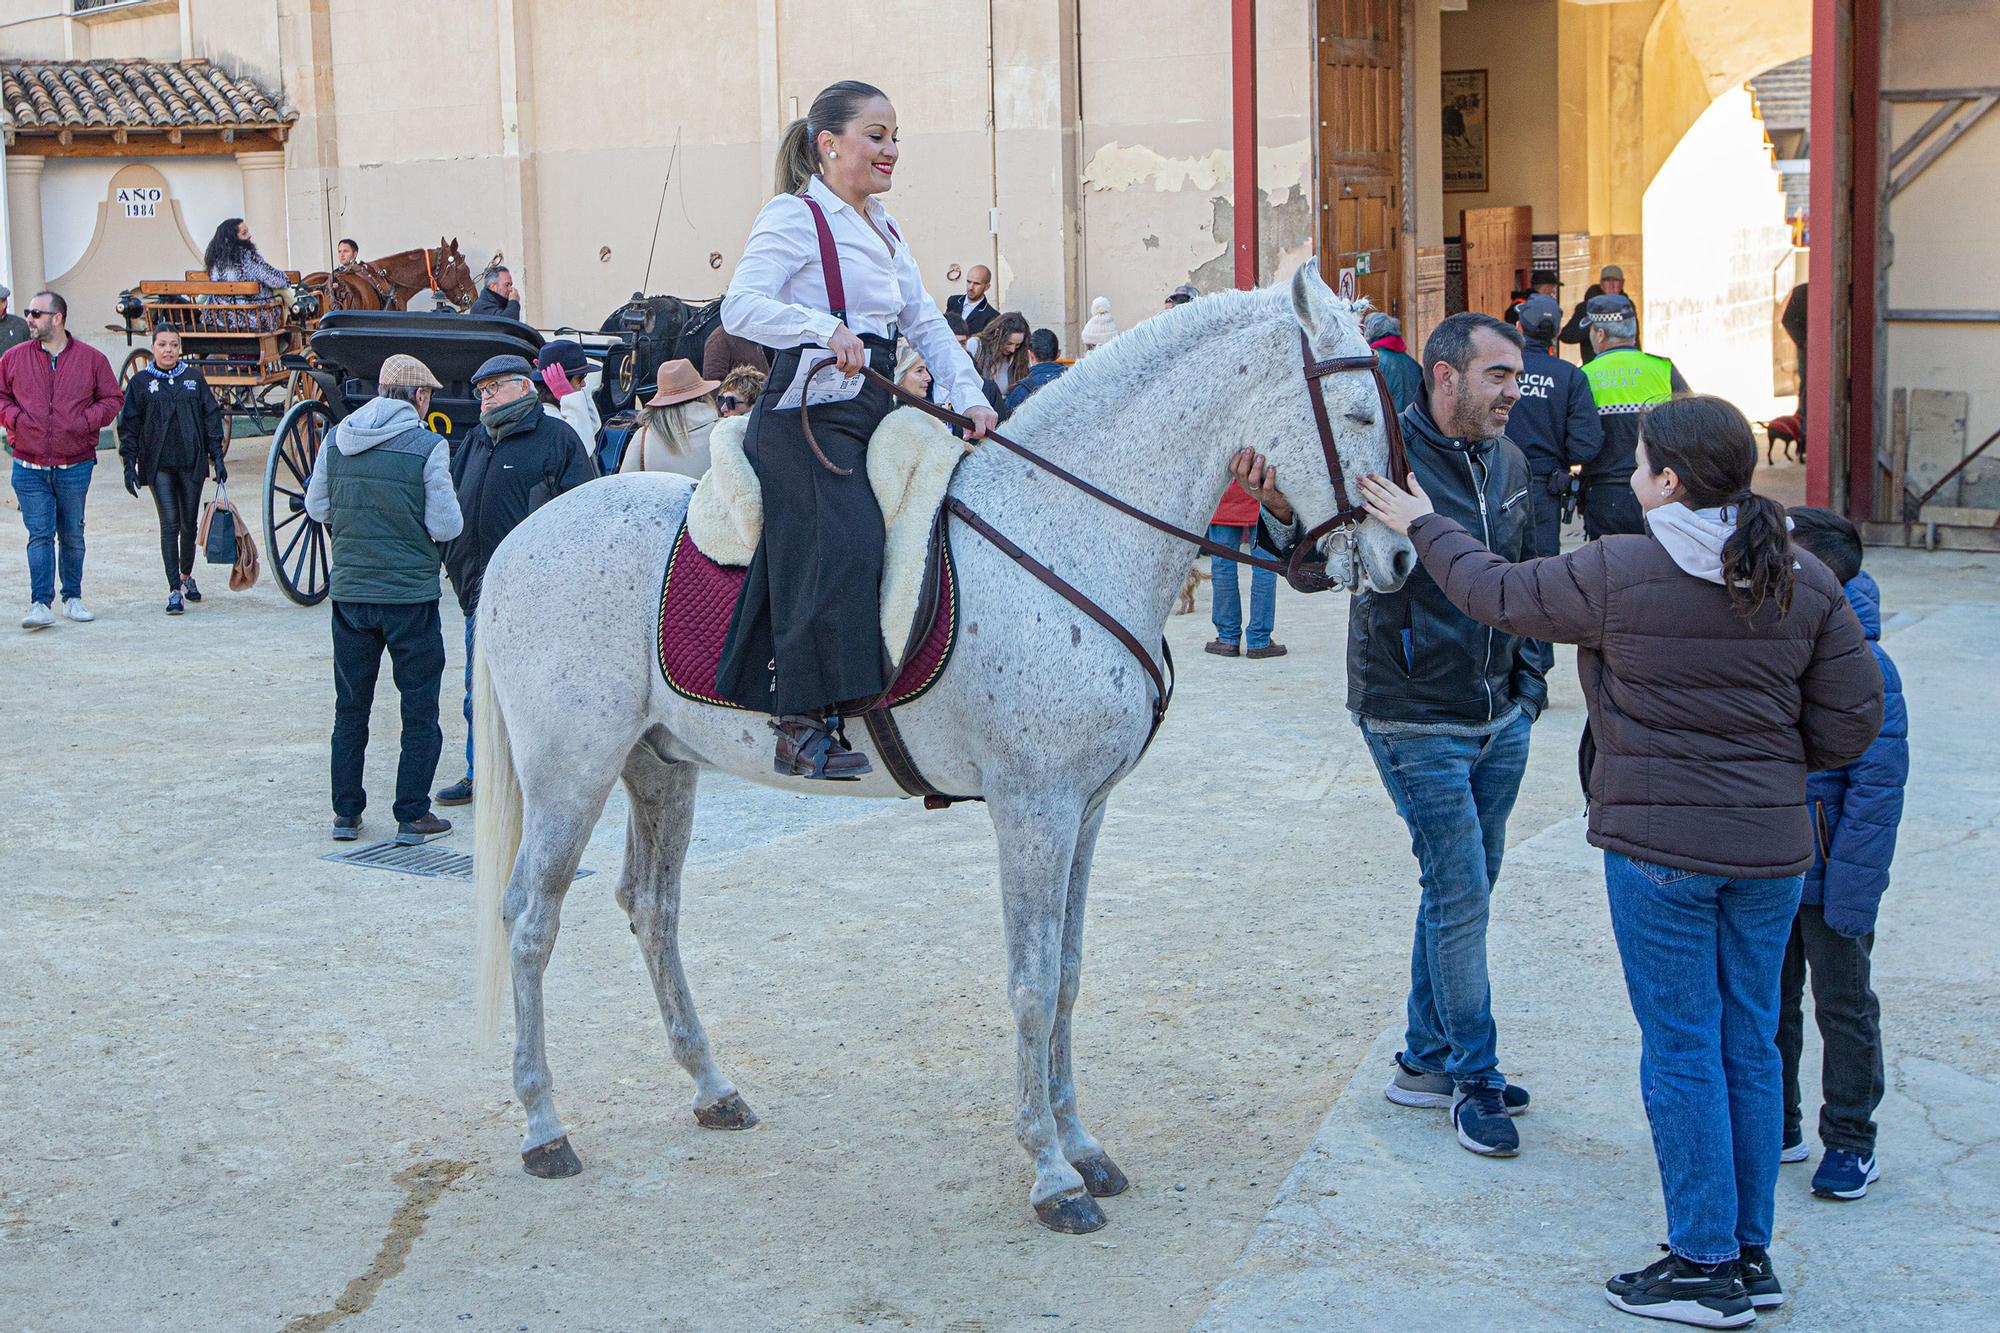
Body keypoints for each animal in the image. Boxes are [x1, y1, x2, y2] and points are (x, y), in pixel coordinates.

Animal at [474, 256, 1416, 1224]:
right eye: (1357, 416)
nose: (1400, 558)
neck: (1065, 534)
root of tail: (522, 537)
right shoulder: (1033, 808)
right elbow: (1032, 984)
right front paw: (1051, 1170)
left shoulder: (1084, 811)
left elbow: (1068, 974)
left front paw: (1083, 1144)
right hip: (570, 773)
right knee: (530, 919)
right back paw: (543, 1125)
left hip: (658, 766)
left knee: (652, 909)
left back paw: (711, 1085)